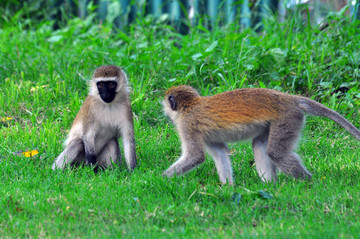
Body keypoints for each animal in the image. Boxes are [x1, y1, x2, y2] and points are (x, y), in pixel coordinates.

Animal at [164, 85, 360, 184]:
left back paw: (307, 182)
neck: (190, 106)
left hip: (288, 118)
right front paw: (228, 187)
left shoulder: (187, 125)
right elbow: (220, 152)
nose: (163, 106)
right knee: (260, 144)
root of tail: (291, 99)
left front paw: (161, 179)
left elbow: (195, 156)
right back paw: (270, 185)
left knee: (276, 152)